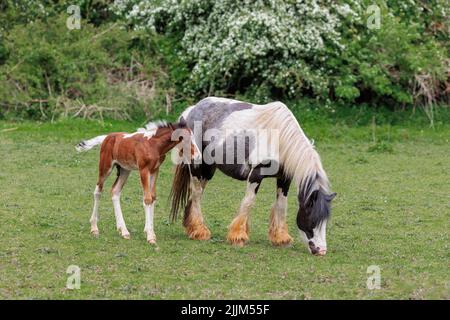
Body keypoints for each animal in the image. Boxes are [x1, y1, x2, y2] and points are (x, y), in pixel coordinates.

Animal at [171, 97, 336, 255]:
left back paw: (191, 228)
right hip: (197, 165)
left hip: (208, 171)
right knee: (196, 193)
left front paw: (281, 238)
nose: (321, 251)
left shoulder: (284, 178)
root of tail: (192, 110)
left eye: (325, 222)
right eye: (313, 220)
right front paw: (238, 236)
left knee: (196, 194)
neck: (279, 139)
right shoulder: (256, 174)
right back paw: (200, 231)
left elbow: (281, 204)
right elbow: (248, 202)